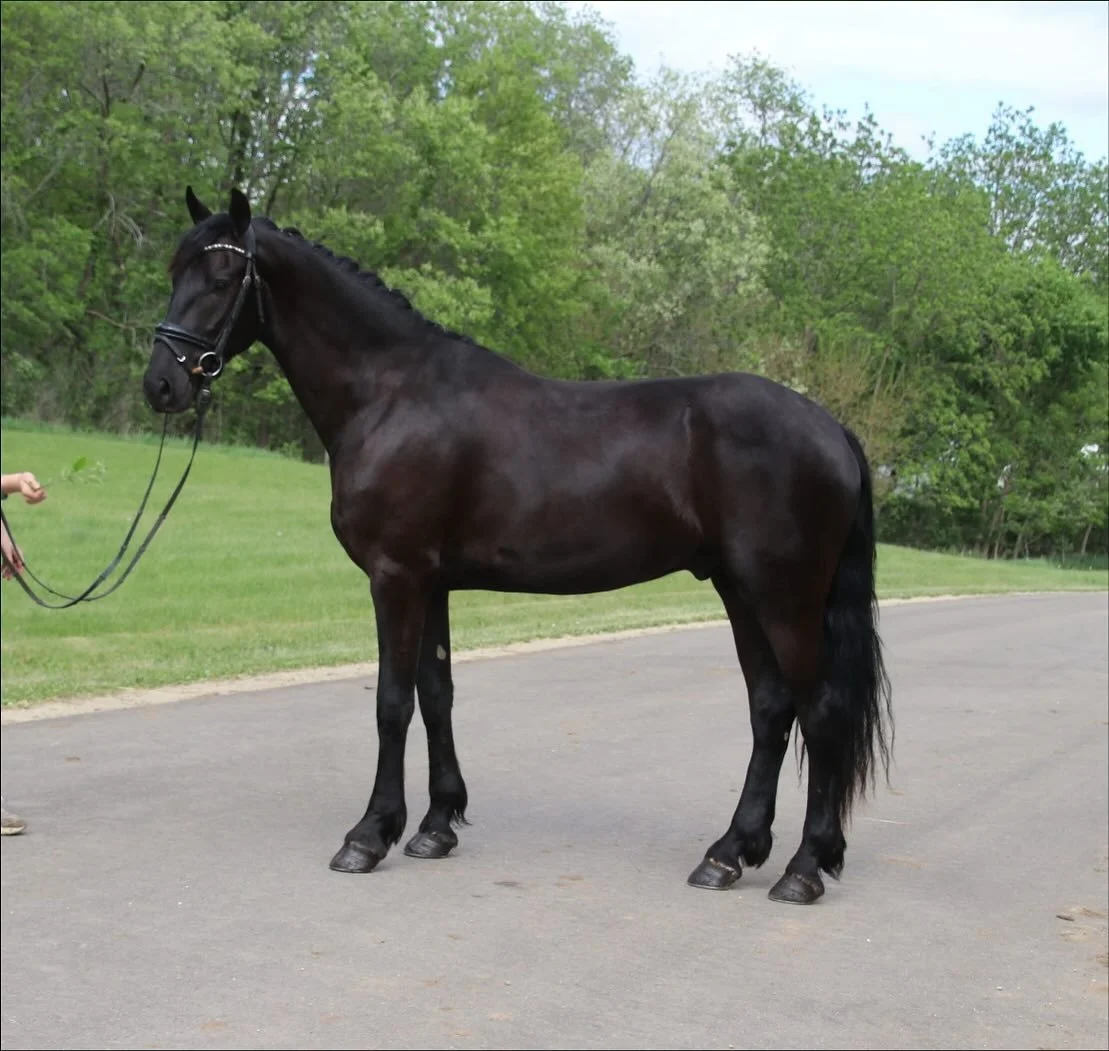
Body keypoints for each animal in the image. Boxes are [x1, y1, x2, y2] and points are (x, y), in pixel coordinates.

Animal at [143, 187, 893, 904]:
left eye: (221, 276)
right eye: (174, 270)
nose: (162, 384)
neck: (390, 394)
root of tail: (831, 427)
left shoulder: (396, 576)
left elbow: (392, 702)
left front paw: (369, 834)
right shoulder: (432, 581)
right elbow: (436, 693)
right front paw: (436, 824)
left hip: (784, 597)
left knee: (819, 712)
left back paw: (803, 868)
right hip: (740, 590)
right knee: (771, 709)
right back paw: (729, 853)